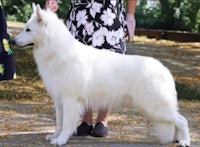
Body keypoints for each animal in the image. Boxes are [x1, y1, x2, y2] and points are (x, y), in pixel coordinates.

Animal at [14, 3, 191, 147]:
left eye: (28, 29)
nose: (13, 41)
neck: (56, 51)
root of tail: (165, 69)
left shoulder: (70, 100)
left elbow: (66, 124)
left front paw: (61, 140)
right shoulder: (59, 101)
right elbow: (59, 122)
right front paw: (55, 136)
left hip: (155, 107)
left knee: (182, 120)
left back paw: (185, 141)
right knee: (176, 121)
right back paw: (177, 139)